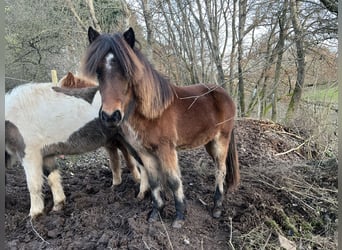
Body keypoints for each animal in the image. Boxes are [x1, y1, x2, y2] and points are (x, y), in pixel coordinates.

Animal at [81, 27, 239, 229]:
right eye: (98, 72)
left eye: (127, 72)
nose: (110, 116)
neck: (152, 111)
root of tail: (224, 93)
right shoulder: (145, 152)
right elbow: (155, 181)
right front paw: (156, 213)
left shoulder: (166, 149)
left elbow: (173, 181)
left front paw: (179, 217)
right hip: (209, 143)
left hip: (221, 140)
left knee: (220, 170)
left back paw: (217, 208)